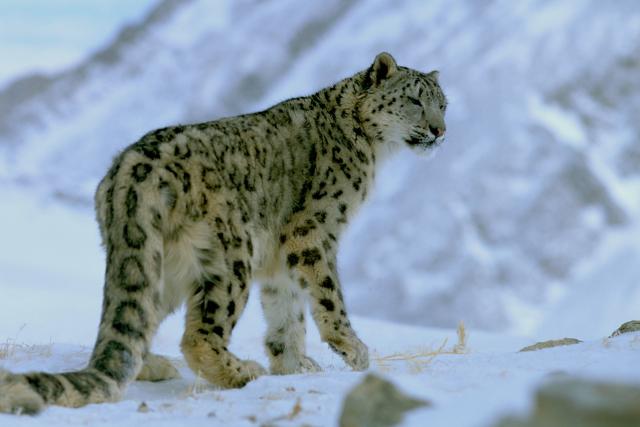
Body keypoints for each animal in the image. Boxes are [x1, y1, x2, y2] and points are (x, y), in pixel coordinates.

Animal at [0, 52, 447, 414]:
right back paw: (242, 371)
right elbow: (327, 294)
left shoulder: (280, 255)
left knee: (137, 319)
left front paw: (294, 364)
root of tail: (130, 173)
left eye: (443, 104)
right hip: (231, 256)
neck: (372, 151)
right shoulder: (313, 233)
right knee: (198, 335)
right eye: (414, 101)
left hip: (160, 264)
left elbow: (286, 308)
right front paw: (355, 352)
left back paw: (156, 364)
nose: (440, 131)